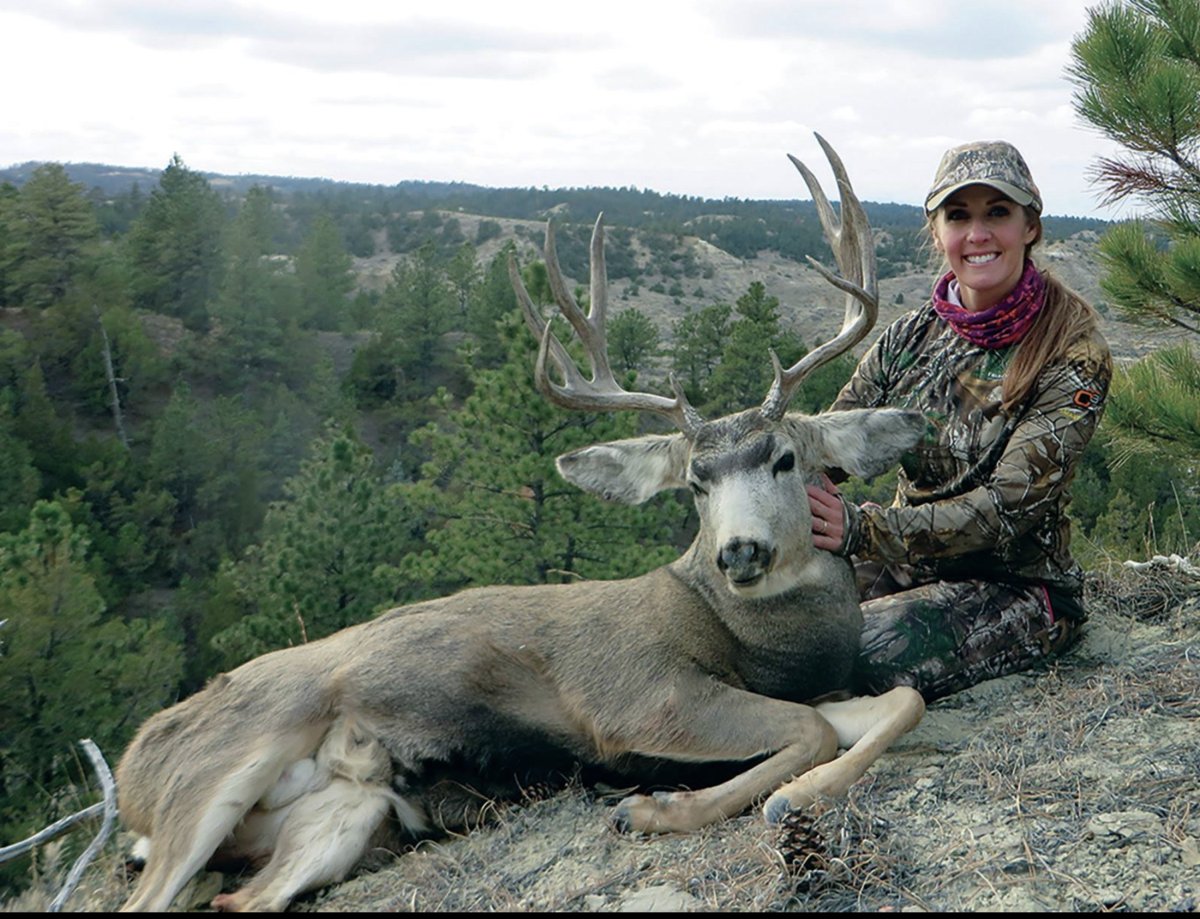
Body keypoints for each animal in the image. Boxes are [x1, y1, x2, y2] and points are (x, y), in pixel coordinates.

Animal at [115, 135, 927, 913]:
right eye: (696, 482)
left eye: (786, 457)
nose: (741, 551)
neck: (756, 643)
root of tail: (130, 771)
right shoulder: (637, 694)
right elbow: (807, 730)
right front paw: (658, 807)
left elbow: (900, 701)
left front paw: (787, 792)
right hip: (216, 769)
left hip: (340, 816)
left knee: (245, 895)